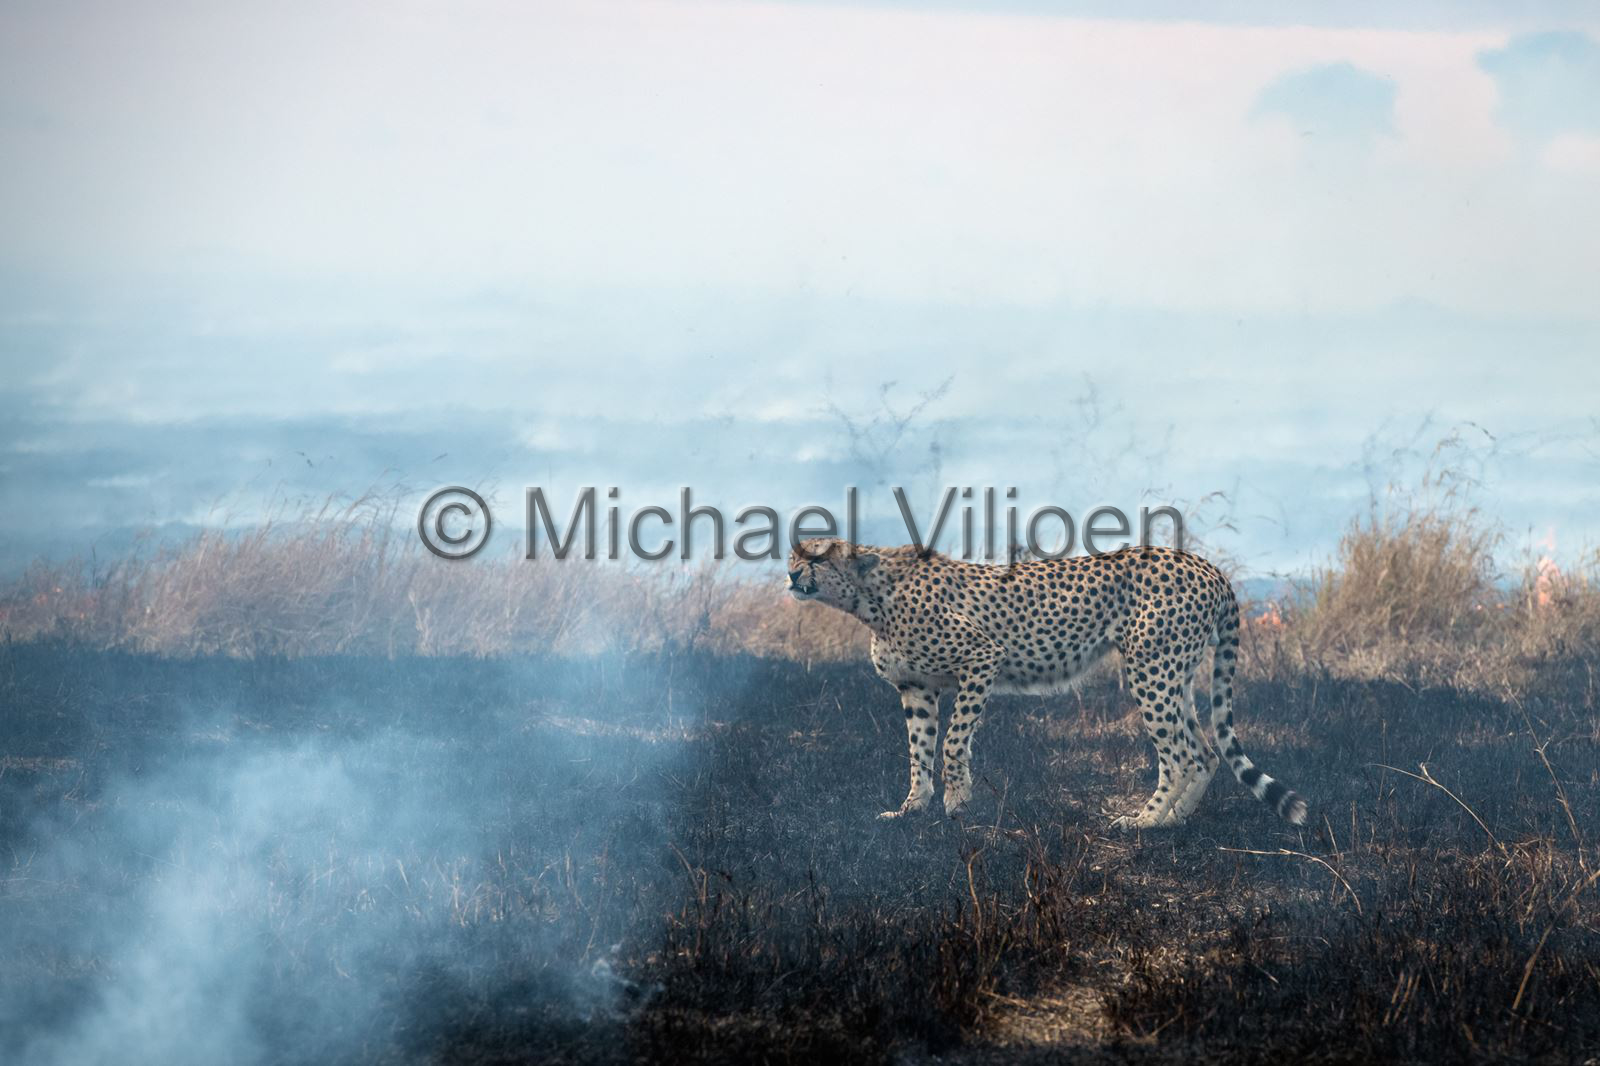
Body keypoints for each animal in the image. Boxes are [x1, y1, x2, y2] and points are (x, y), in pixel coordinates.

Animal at [786, 537, 1307, 829]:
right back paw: (1175, 820)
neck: (870, 596)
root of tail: (1204, 564)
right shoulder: (917, 688)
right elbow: (918, 752)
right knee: (1205, 752)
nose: (790, 573)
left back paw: (1146, 821)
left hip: (1151, 671)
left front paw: (957, 802)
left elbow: (953, 741)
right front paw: (911, 809)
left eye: (816, 558)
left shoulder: (982, 658)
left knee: (1180, 755)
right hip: (1175, 676)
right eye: (793, 554)